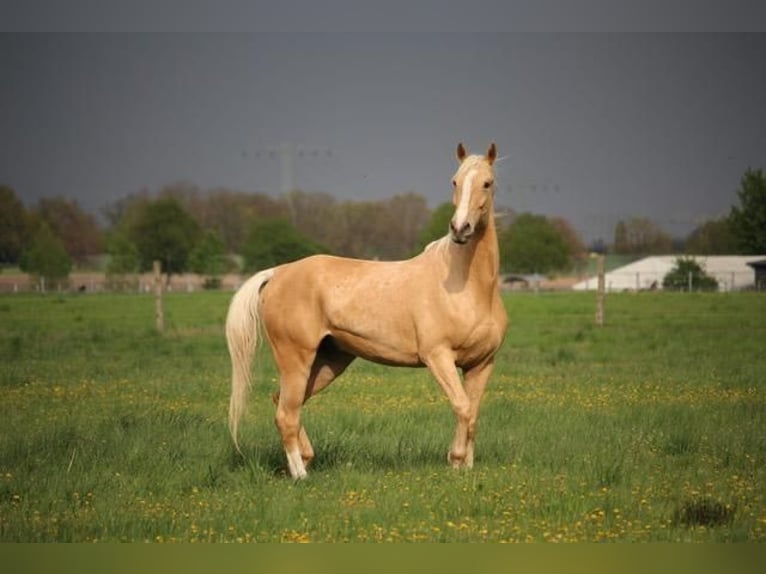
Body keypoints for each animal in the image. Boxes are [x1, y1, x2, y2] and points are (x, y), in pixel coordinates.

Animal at [228, 144, 510, 482]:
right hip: (295, 358)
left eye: (488, 183)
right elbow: (462, 407)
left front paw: (465, 468)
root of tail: (278, 273)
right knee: (286, 414)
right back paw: (301, 475)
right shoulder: (438, 357)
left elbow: (472, 414)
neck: (466, 286)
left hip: (328, 362)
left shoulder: (481, 364)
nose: (460, 229)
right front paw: (455, 461)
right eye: (454, 181)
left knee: (283, 405)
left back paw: (306, 459)